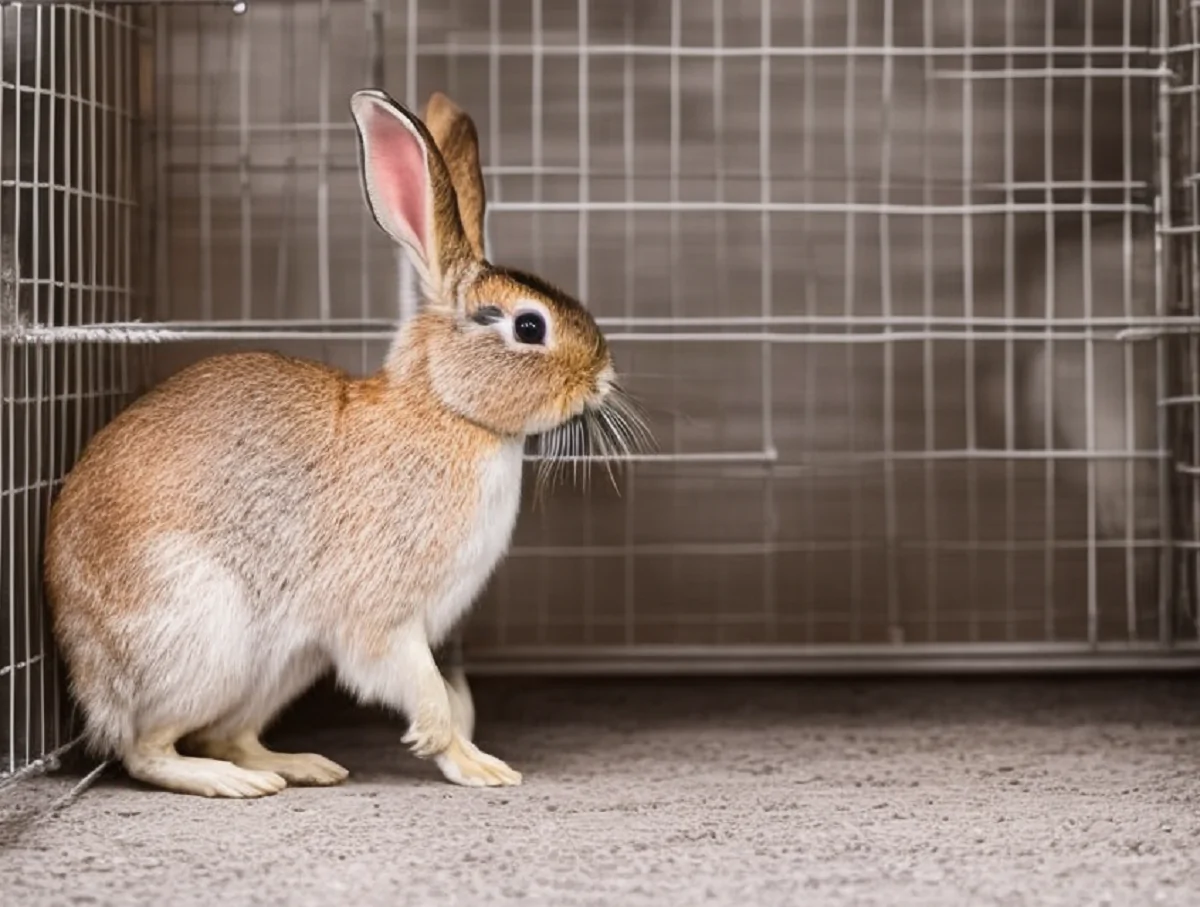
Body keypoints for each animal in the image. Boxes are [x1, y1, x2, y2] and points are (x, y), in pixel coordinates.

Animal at [44, 88, 646, 798]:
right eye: (530, 327)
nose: (605, 378)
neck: (447, 410)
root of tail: (91, 683)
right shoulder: (383, 620)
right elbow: (427, 693)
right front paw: (475, 765)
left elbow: (452, 695)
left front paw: (469, 750)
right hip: (205, 641)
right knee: (145, 748)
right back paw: (232, 783)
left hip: (283, 666)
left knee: (228, 735)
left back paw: (299, 766)